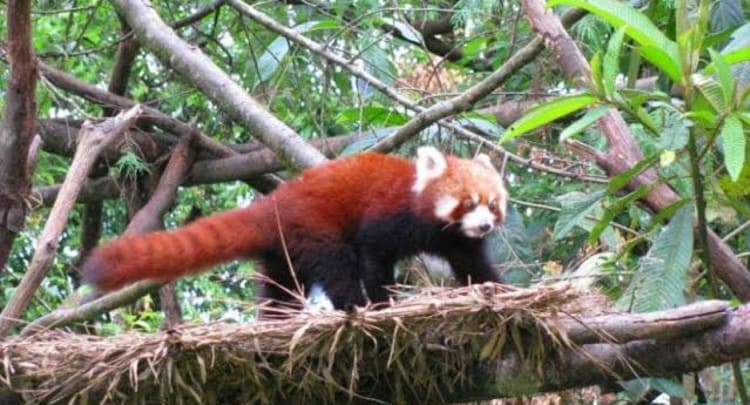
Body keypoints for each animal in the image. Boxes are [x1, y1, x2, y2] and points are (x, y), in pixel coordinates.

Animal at [83, 147, 512, 310]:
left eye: (493, 205)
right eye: (468, 203)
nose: (485, 225)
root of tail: (274, 204)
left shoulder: (458, 241)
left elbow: (475, 267)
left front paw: (500, 289)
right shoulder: (390, 217)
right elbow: (372, 255)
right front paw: (380, 301)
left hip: (284, 252)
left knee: (281, 288)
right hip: (313, 229)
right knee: (336, 265)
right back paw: (352, 304)